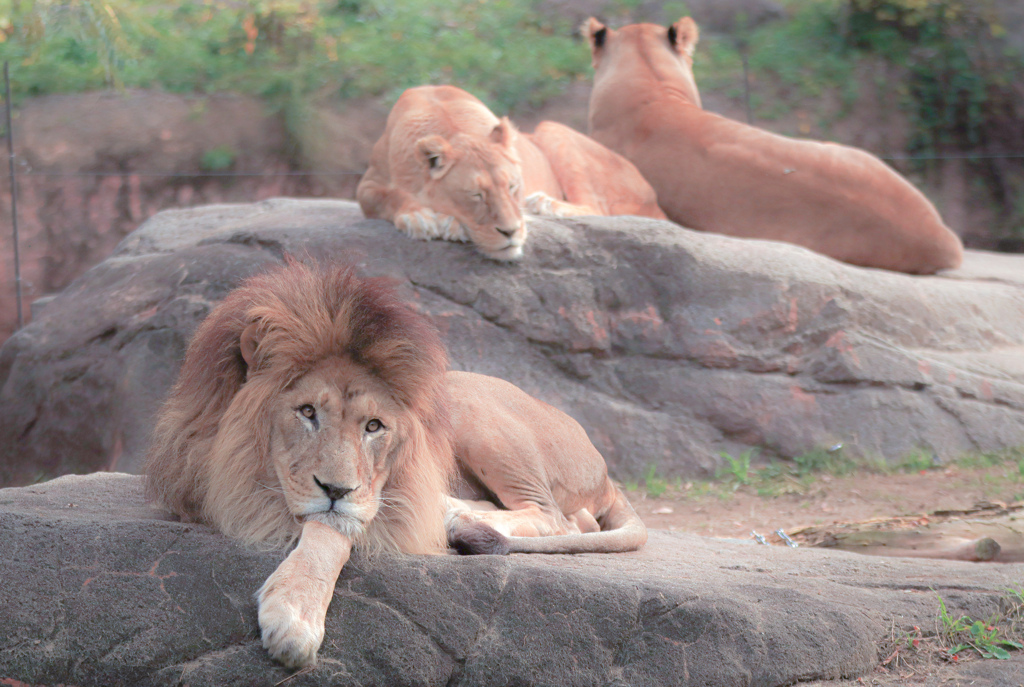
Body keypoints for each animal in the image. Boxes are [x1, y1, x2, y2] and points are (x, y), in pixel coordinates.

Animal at [145, 261, 643, 667]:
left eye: (374, 426)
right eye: (307, 412)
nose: (337, 491)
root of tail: (606, 472)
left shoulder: (372, 499)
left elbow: (329, 530)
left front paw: (295, 615)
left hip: (469, 407)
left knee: (560, 518)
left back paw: (452, 516)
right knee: (576, 521)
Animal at [358, 83, 663, 261]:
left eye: (513, 186)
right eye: (476, 195)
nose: (511, 232)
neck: (451, 125)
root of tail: (654, 197)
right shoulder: (368, 183)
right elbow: (389, 196)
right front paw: (421, 217)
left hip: (551, 128)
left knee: (595, 207)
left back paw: (544, 203)